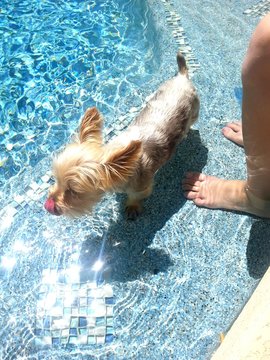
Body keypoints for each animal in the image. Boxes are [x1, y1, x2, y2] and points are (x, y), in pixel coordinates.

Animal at [44, 51, 199, 218]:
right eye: (56, 179)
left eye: (73, 191)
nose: (47, 205)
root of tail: (182, 77)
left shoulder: (141, 187)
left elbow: (135, 197)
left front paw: (132, 207)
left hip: (194, 111)